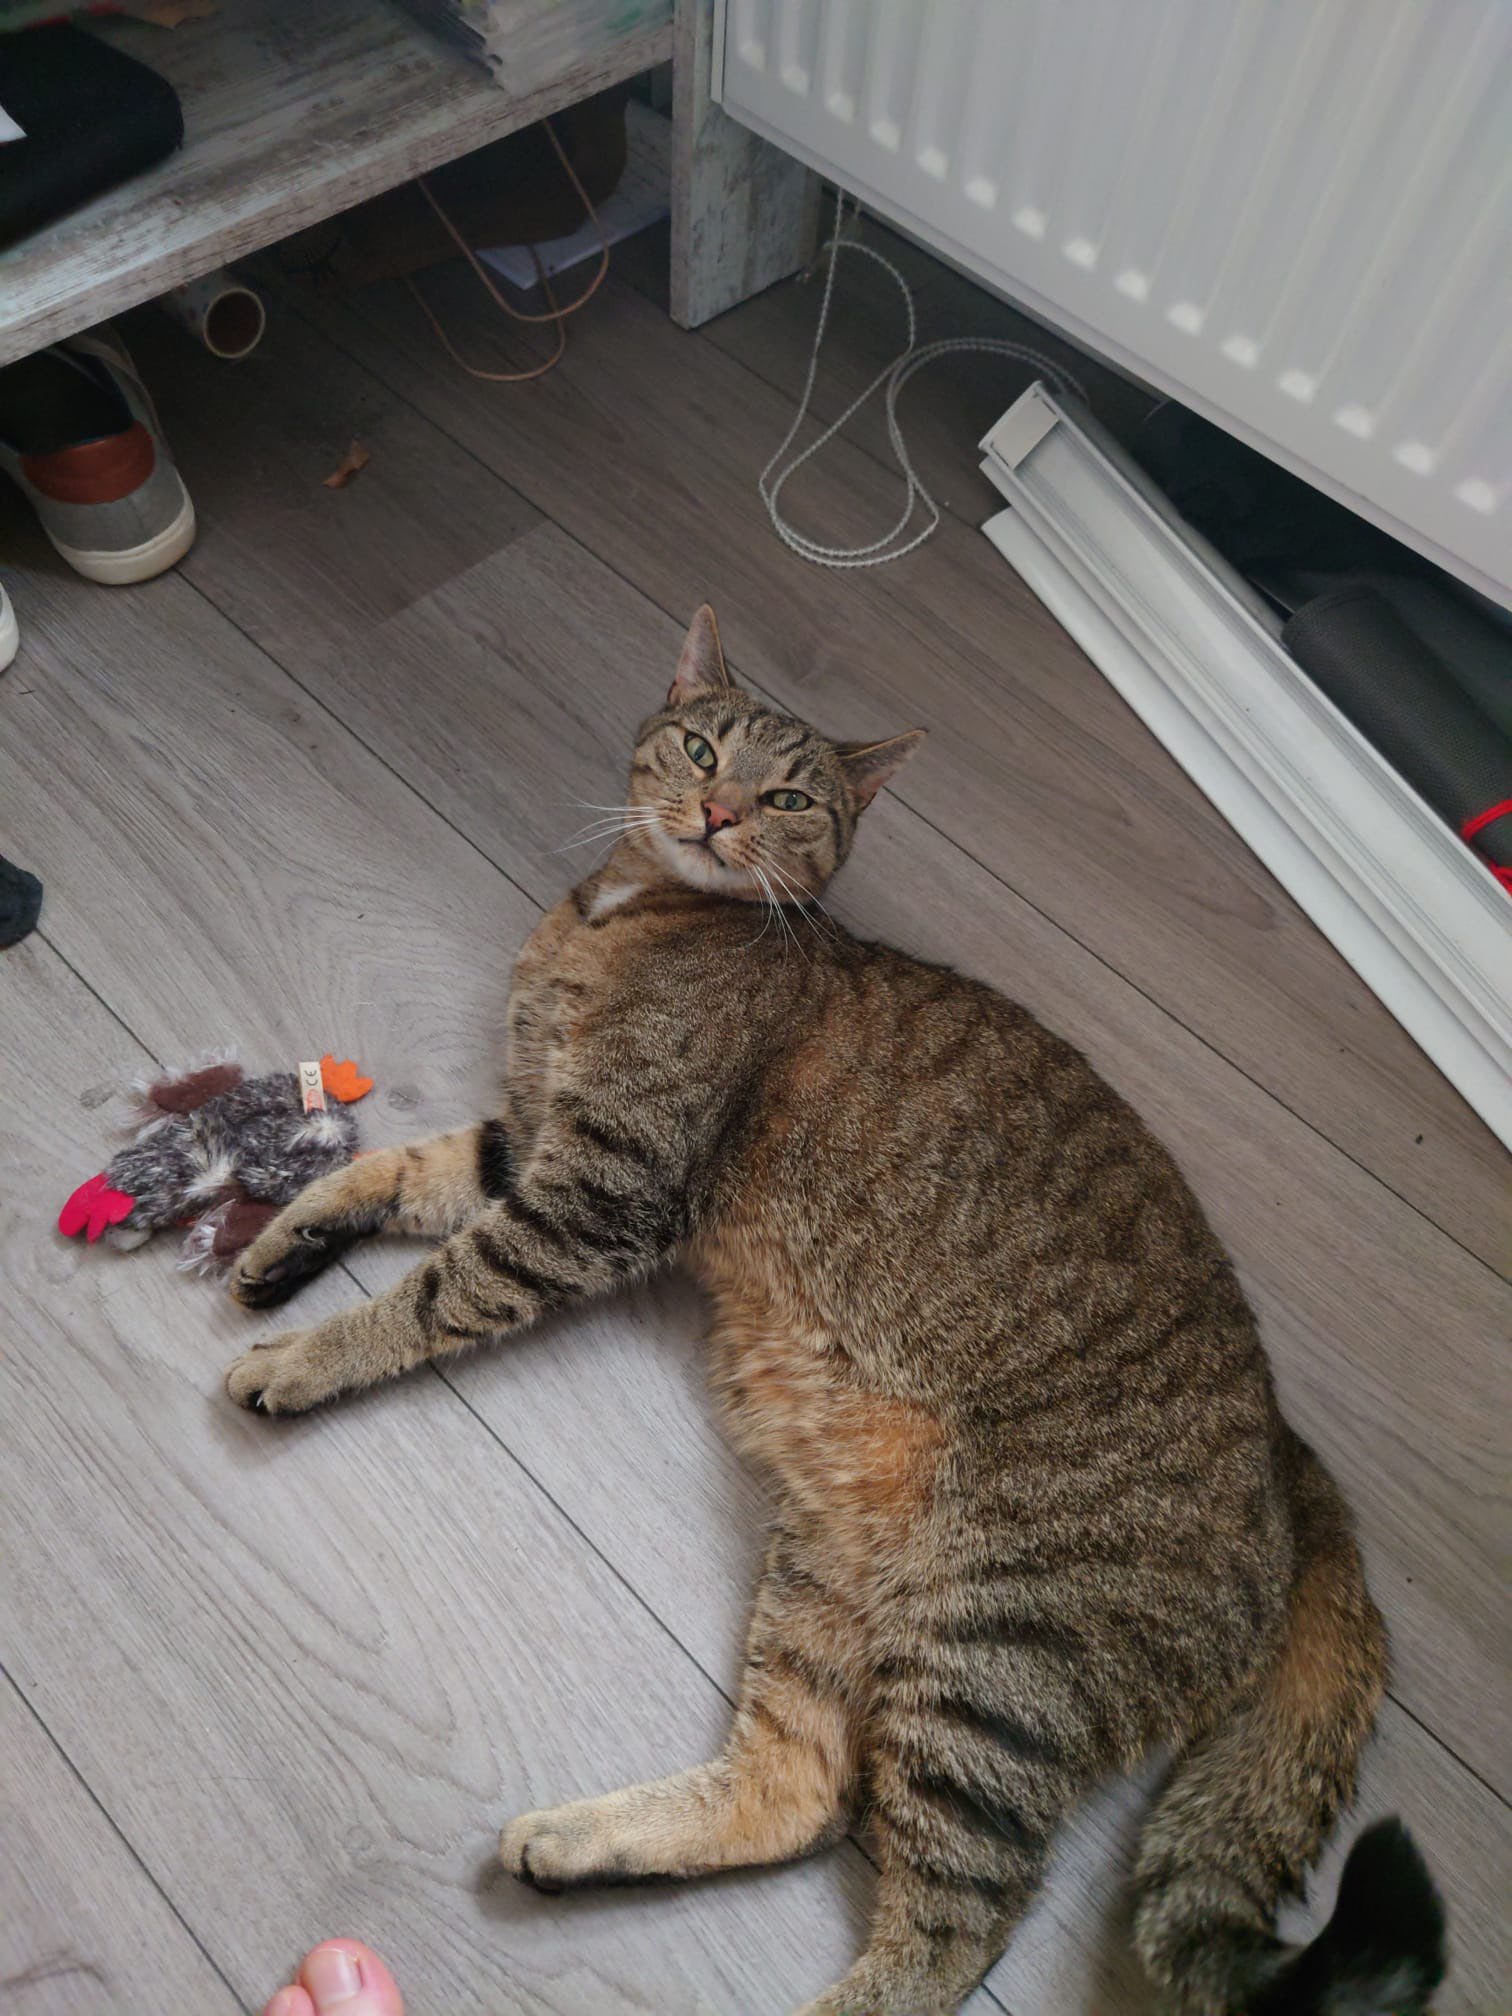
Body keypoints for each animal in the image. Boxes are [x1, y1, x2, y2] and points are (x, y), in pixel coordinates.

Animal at [223, 606, 1445, 2016]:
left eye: (792, 797)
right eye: (703, 748)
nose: (715, 811)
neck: (625, 915)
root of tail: (1298, 1472)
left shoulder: (599, 1186)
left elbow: (434, 1293)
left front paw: (304, 1355)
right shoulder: (528, 1139)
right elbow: (393, 1175)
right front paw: (284, 1238)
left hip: (991, 1656)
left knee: (955, 1928)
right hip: (834, 1575)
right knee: (796, 1788)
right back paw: (587, 1840)